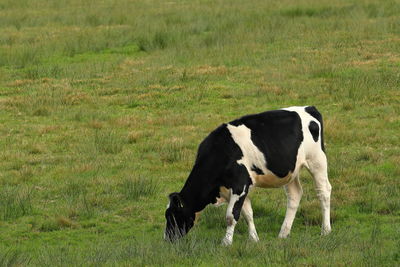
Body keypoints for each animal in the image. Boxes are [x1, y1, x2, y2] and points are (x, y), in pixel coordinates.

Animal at [163, 105, 332, 246]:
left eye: (173, 216)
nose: (167, 239)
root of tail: (309, 108)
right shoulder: (237, 188)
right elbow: (247, 213)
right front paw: (254, 239)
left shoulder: (240, 184)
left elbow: (231, 216)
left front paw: (226, 242)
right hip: (291, 170)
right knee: (295, 195)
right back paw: (283, 233)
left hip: (317, 161)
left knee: (324, 192)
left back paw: (326, 230)